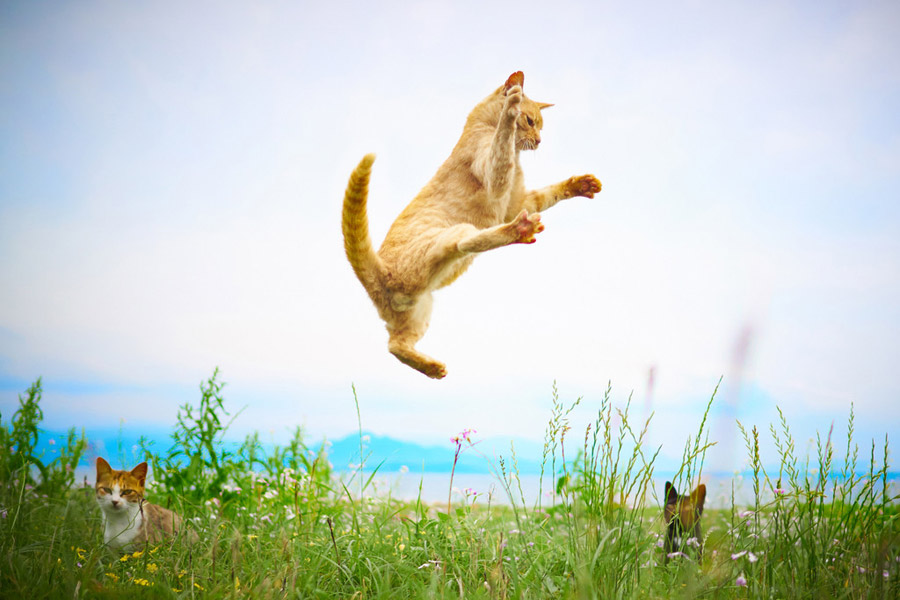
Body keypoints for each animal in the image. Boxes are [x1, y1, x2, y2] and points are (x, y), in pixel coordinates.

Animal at [342, 70, 600, 380]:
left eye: (541, 127)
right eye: (530, 122)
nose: (539, 141)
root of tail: (378, 275)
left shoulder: (518, 204)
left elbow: (549, 193)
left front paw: (581, 184)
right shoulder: (496, 177)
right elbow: (503, 141)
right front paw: (511, 107)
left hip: (420, 311)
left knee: (395, 345)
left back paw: (431, 368)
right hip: (455, 234)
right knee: (467, 242)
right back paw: (519, 231)